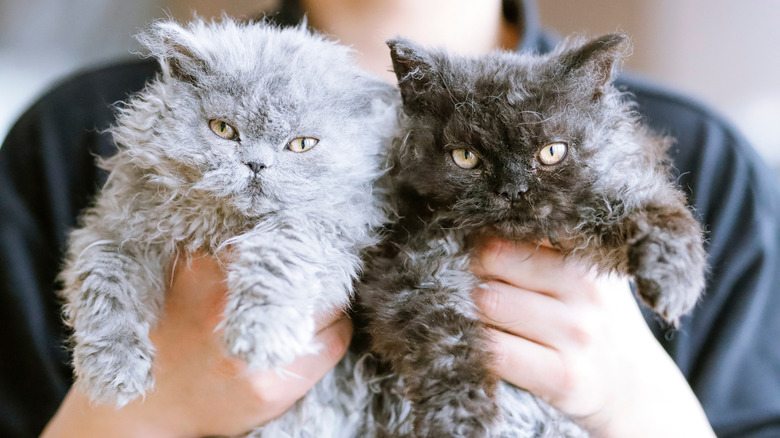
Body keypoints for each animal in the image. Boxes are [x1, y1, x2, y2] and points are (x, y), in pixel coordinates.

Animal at [57, 16, 396, 408]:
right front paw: (114, 368)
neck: (220, 226)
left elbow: (275, 262)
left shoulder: (319, 230)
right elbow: (105, 288)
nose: (256, 164)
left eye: (301, 145)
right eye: (223, 129)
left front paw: (260, 335)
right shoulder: (111, 232)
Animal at [356, 32, 708, 436]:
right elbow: (448, 347)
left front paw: (673, 279)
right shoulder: (413, 274)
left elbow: (660, 213)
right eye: (465, 157)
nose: (513, 190)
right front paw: (460, 418)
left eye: (552, 152)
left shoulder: (607, 193)